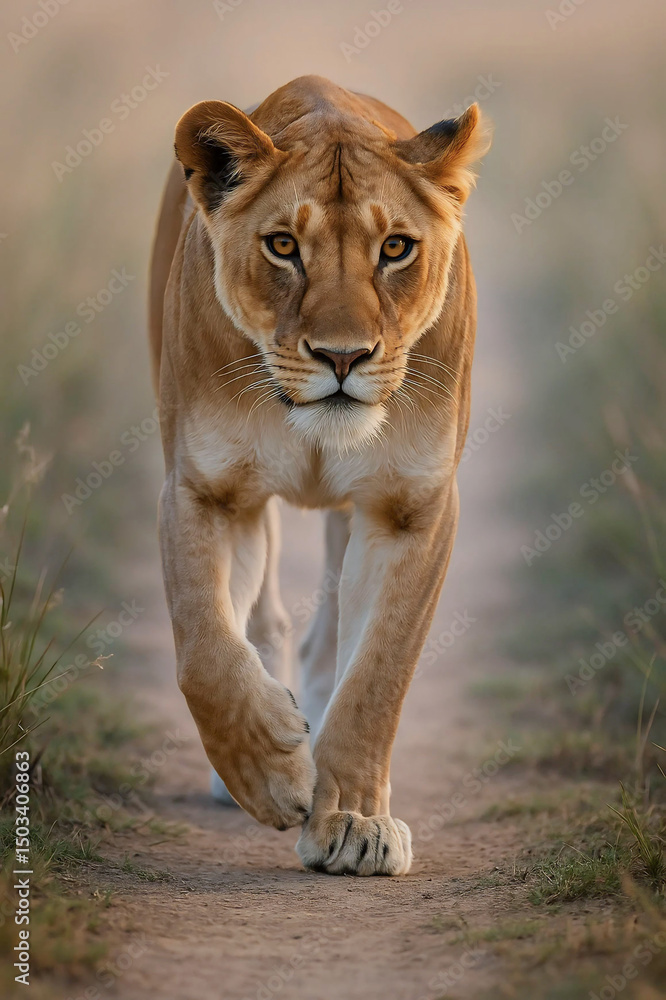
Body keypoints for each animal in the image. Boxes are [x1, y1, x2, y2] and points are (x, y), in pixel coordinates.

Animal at [149, 75, 491, 875]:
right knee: (262, 621)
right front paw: (273, 775)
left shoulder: (412, 507)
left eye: (395, 248)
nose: (343, 356)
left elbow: (376, 676)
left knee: (331, 633)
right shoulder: (204, 490)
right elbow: (205, 650)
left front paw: (357, 823)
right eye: (283, 246)